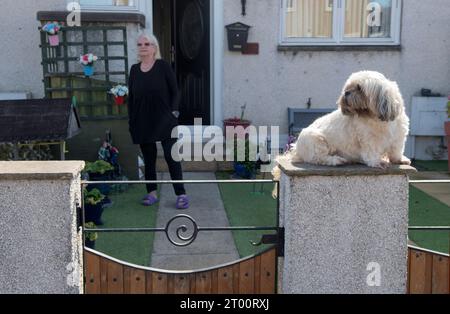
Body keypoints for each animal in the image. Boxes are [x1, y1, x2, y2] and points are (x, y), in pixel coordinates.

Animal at [274, 71, 412, 179]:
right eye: (348, 87)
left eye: (359, 88)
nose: (346, 92)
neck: (377, 119)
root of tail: (296, 148)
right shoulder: (369, 140)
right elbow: (371, 153)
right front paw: (377, 162)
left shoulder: (398, 138)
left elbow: (396, 151)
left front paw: (399, 159)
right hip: (316, 140)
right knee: (319, 158)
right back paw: (336, 160)